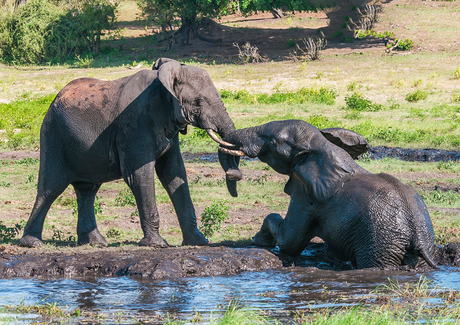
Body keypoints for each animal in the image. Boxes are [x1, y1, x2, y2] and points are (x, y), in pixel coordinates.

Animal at [18, 58, 241, 247]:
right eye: (199, 101)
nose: (234, 176)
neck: (163, 83)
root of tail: (54, 100)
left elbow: (174, 174)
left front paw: (199, 242)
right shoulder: (135, 125)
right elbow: (139, 175)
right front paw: (157, 244)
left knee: (87, 190)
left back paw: (95, 243)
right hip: (54, 135)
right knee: (51, 188)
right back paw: (33, 243)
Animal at [222, 119, 438, 268]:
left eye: (273, 142)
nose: (234, 175)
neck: (321, 145)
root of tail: (417, 234)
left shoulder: (306, 195)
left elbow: (289, 242)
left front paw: (258, 241)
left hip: (381, 242)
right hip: (423, 241)